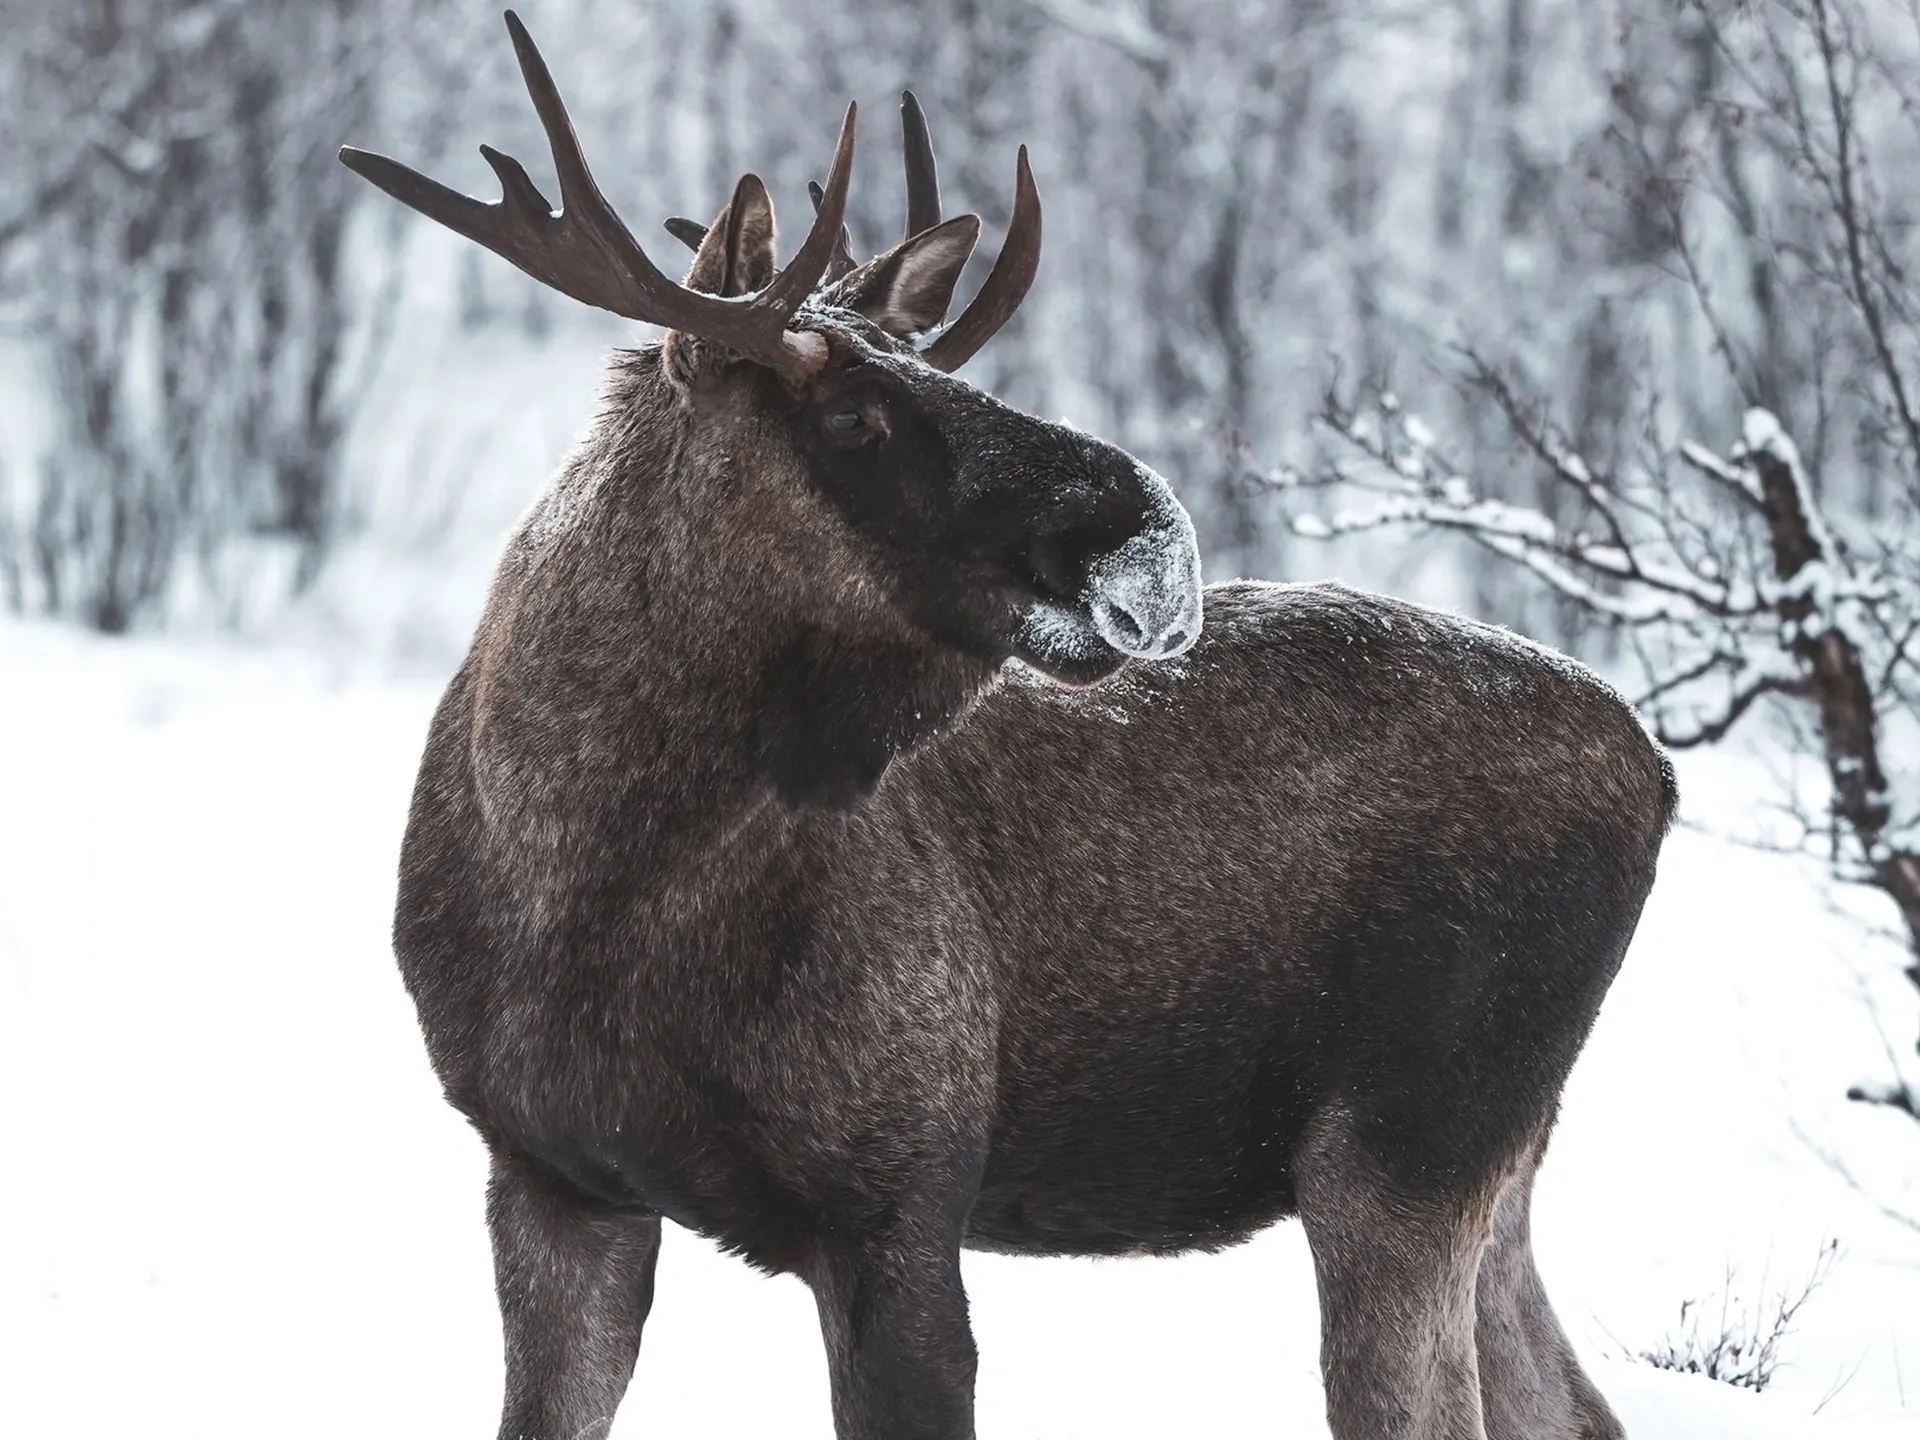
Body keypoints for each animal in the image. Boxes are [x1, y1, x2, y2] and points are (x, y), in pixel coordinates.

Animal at [341, 14, 1666, 1440]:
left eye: (944, 374)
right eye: (850, 415)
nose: (1152, 534)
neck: (589, 888)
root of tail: (1655, 770)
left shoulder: (901, 1194)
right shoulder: (549, 1175)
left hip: (1409, 1136)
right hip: (1490, 1159)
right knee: (1570, 1406)